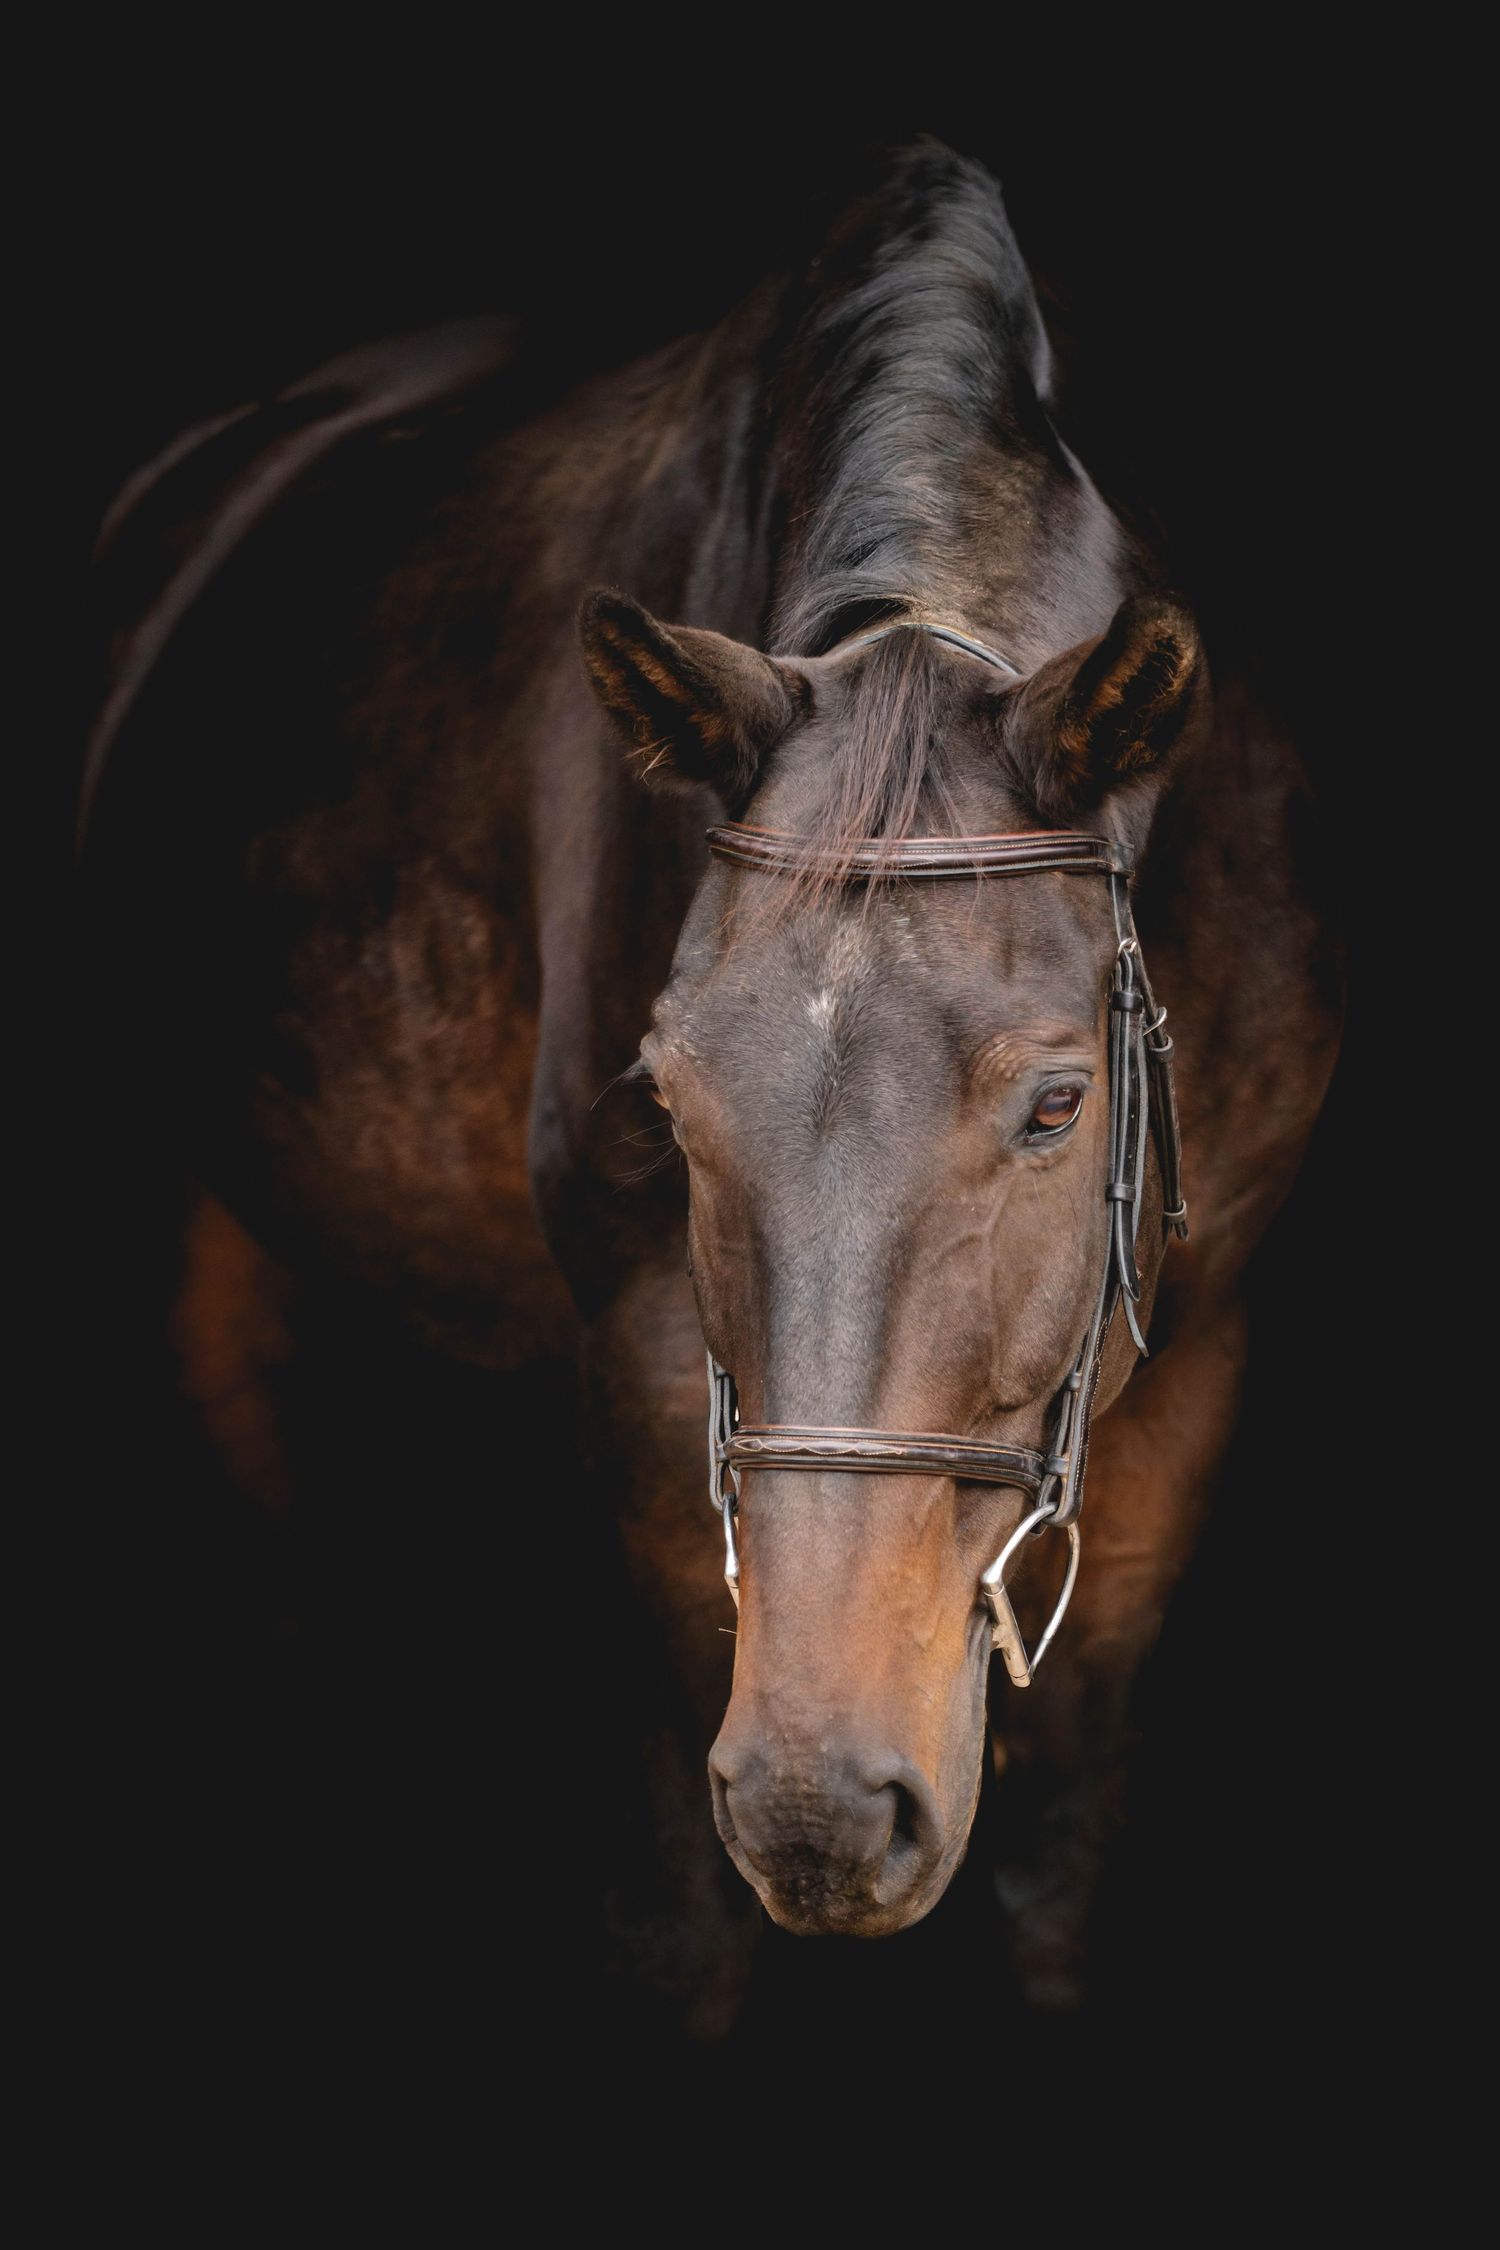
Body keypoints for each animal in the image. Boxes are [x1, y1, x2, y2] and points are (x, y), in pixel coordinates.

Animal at [80, 139, 1341, 2037]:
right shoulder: (661, 1385)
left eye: (1057, 1107)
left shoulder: (1196, 1370)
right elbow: (676, 1921)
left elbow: (1057, 1881)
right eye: (670, 1106)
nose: (829, 1809)